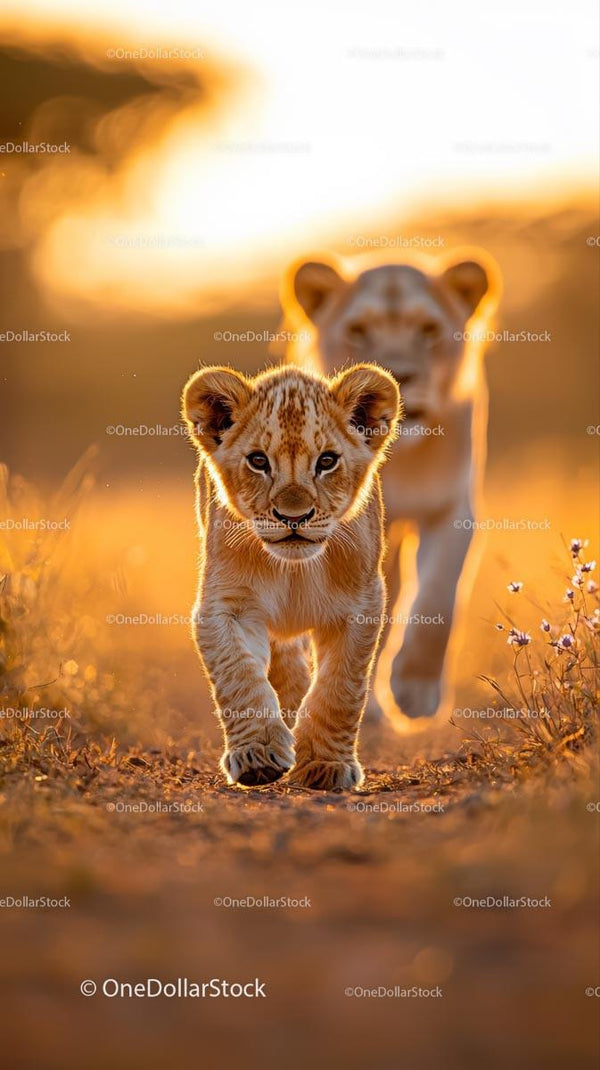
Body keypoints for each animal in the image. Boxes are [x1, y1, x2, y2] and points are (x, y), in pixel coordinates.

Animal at [182, 362, 401, 790]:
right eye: (258, 461)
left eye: (327, 461)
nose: (293, 517)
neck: (294, 569)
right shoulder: (224, 606)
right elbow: (239, 676)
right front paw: (258, 755)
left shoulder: (360, 607)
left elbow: (340, 688)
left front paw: (325, 765)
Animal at [281, 249, 501, 725]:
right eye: (358, 331)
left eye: (429, 330)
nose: (398, 375)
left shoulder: (452, 511)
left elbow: (438, 598)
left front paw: (416, 691)